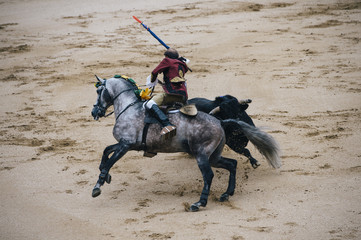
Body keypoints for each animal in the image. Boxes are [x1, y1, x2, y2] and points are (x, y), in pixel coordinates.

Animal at [90, 76, 282, 211]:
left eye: (99, 91)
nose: (94, 112)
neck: (128, 108)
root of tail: (220, 121)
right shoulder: (127, 145)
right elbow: (106, 152)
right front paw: (105, 177)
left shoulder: (126, 145)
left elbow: (109, 161)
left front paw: (98, 185)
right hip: (214, 156)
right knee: (232, 164)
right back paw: (227, 193)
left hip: (202, 155)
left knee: (209, 175)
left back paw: (199, 203)